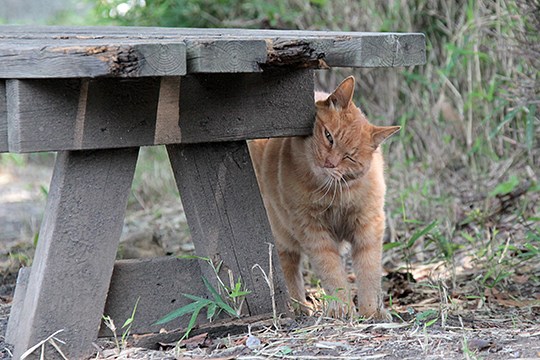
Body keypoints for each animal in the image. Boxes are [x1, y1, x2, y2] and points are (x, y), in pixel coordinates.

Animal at [250, 76, 400, 318]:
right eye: (329, 137)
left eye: (350, 157)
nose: (330, 163)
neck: (335, 193)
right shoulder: (312, 230)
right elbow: (331, 271)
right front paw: (342, 308)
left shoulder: (369, 226)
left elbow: (369, 270)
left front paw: (371, 311)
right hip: (280, 232)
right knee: (288, 266)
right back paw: (298, 308)